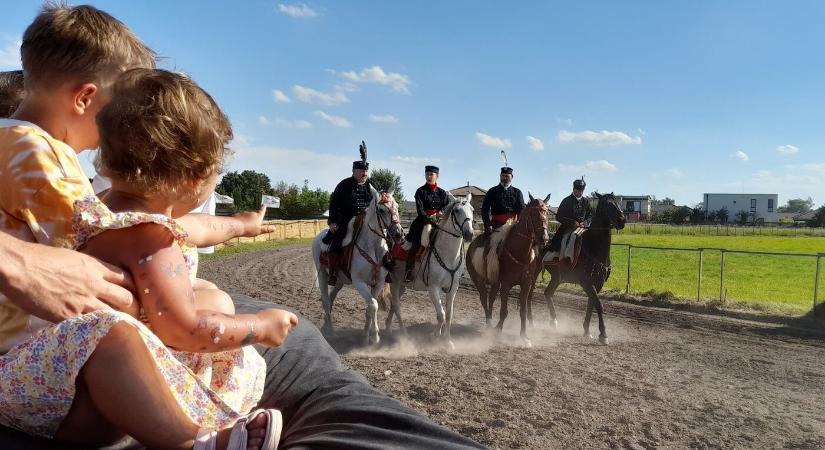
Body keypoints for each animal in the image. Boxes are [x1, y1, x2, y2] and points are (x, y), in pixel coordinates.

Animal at [310, 188, 400, 346]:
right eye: (381, 210)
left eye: (397, 206)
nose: (399, 233)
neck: (372, 247)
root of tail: (319, 236)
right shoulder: (359, 282)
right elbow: (374, 305)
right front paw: (375, 337)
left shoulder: (378, 283)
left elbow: (370, 307)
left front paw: (366, 336)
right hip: (322, 276)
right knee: (326, 301)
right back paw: (331, 332)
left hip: (339, 280)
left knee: (331, 299)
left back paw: (325, 326)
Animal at [384, 194, 474, 348]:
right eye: (456, 210)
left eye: (472, 210)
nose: (469, 234)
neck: (448, 255)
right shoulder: (433, 288)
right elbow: (441, 315)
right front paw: (435, 335)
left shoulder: (453, 289)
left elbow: (449, 315)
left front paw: (448, 341)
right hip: (394, 283)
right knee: (397, 306)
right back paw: (403, 335)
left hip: (402, 285)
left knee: (393, 305)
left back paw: (389, 328)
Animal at [466, 195, 552, 346]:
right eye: (533, 213)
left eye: (546, 212)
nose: (544, 238)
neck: (520, 253)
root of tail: (471, 245)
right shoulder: (506, 284)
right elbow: (504, 310)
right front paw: (498, 330)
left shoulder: (526, 285)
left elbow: (522, 311)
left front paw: (524, 336)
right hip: (478, 280)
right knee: (484, 299)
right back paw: (489, 324)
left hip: (495, 283)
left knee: (491, 298)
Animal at [536, 192, 620, 344]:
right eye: (607, 204)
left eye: (616, 202)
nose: (622, 220)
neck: (593, 247)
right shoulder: (586, 283)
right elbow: (598, 305)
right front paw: (603, 334)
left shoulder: (597, 284)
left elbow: (591, 305)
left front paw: (587, 330)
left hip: (557, 278)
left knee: (548, 293)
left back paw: (554, 321)